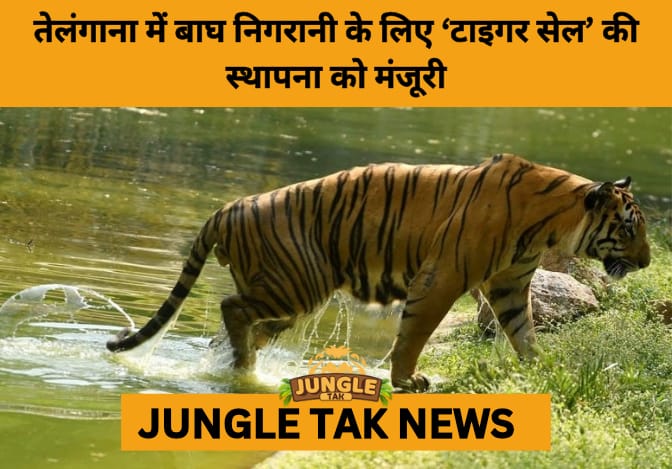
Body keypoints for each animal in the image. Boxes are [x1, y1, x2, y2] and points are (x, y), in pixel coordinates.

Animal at [107, 154, 650, 392]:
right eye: (627, 228)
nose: (647, 262)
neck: (550, 223)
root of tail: (229, 206)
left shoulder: (511, 285)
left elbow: (524, 333)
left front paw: (542, 370)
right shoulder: (442, 278)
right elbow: (413, 335)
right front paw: (407, 380)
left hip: (285, 296)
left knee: (236, 327)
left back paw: (240, 366)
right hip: (297, 287)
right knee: (230, 308)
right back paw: (244, 373)